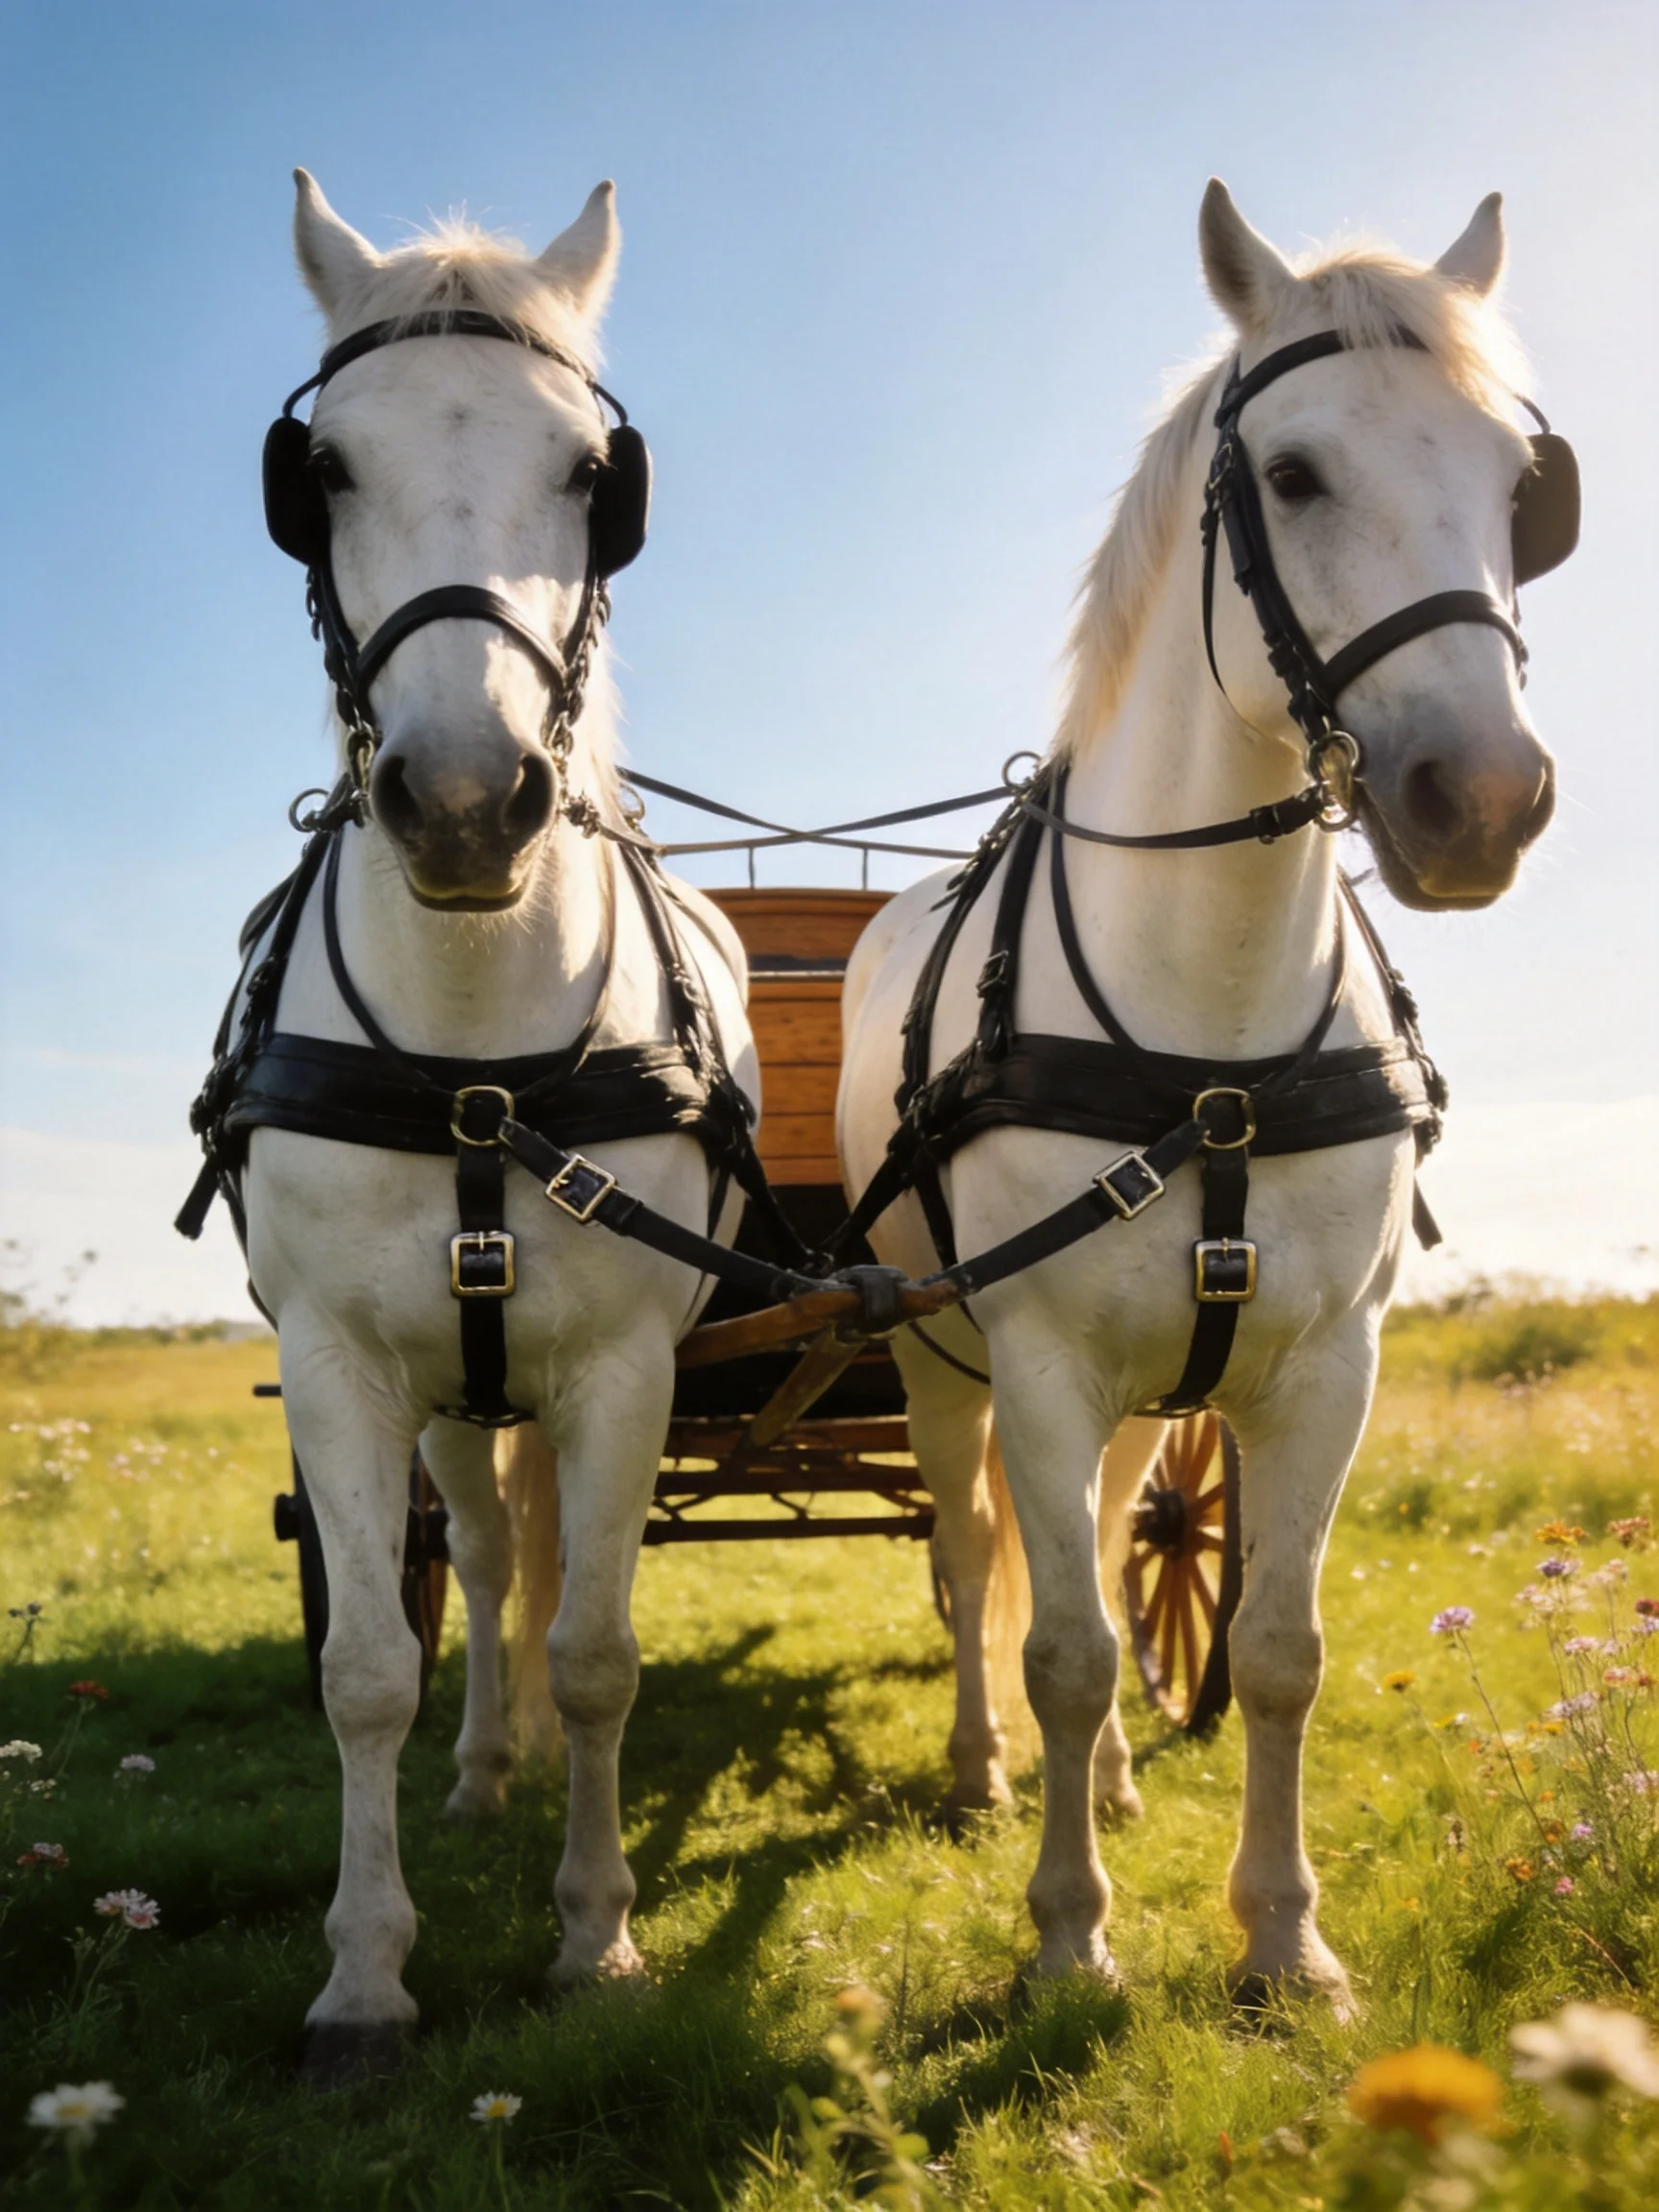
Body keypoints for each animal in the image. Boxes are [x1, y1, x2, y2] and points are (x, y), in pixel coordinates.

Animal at [187, 174, 761, 2076]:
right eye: (321, 470)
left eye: (595, 473)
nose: (456, 800)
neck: (474, 1061)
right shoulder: (341, 1365)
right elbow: (370, 1662)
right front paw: (365, 1975)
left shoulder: (625, 1367)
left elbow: (598, 1648)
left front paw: (596, 1936)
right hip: (448, 1393)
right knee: (489, 1552)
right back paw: (481, 1769)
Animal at [838, 182, 1569, 2014]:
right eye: (1292, 474)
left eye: (1517, 486)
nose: (1482, 796)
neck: (1212, 1046)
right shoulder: (1032, 1358)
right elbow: (1060, 1644)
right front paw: (1065, 1937)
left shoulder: (1322, 1367)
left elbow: (1273, 1646)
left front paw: (1282, 1938)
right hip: (932, 1350)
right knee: (980, 1559)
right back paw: (986, 1766)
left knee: (1106, 1535)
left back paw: (1096, 1782)